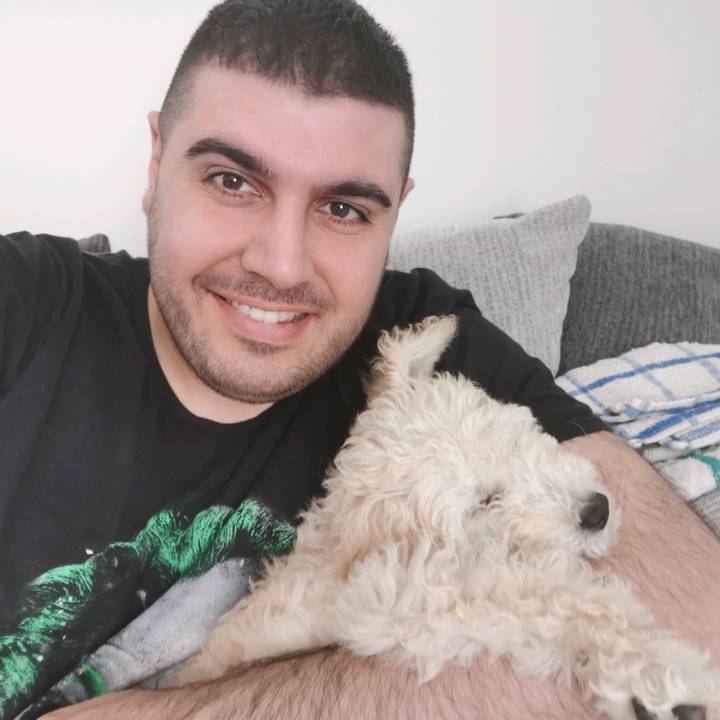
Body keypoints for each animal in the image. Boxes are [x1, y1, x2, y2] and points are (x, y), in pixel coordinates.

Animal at [167, 315, 719, 720]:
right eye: (486, 502)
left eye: (517, 436)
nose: (596, 510)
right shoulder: (409, 613)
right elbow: (552, 602)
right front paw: (664, 676)